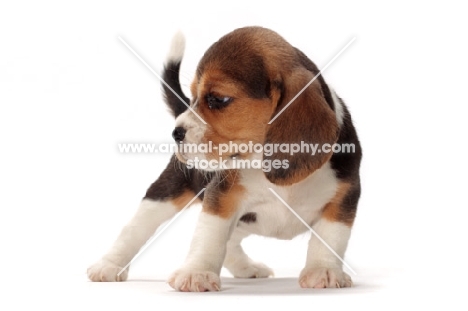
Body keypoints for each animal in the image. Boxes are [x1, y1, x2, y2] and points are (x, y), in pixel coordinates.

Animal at [89, 26, 364, 292]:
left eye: (218, 99)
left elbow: (330, 238)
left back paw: (246, 267)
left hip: (245, 221)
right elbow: (210, 236)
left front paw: (323, 271)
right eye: (193, 98)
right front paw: (197, 273)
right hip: (165, 193)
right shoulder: (221, 196)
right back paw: (108, 265)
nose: (176, 132)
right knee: (135, 229)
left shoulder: (343, 199)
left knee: (231, 242)